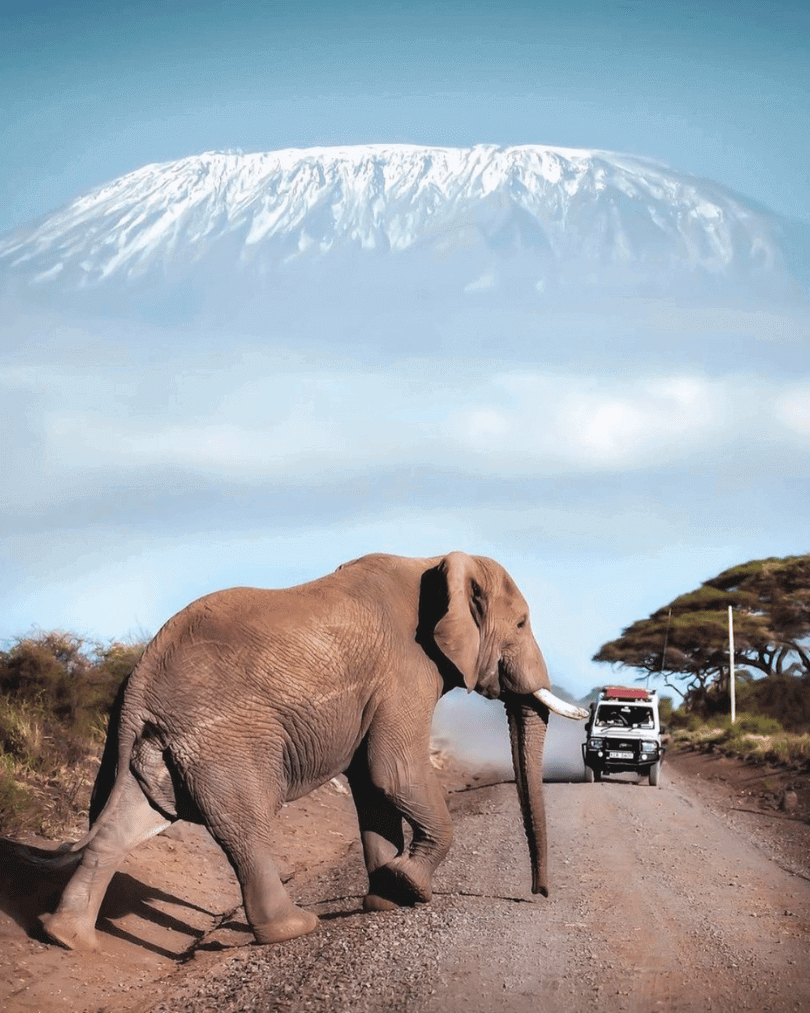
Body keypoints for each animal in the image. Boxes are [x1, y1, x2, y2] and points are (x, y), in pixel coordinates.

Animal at [41, 547, 587, 948]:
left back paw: (68, 939)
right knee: (247, 826)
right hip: (224, 741)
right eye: (522, 624)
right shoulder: (405, 670)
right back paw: (294, 928)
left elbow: (372, 785)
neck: (434, 562)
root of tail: (138, 684)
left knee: (127, 822)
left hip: (153, 743)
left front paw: (385, 899)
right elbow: (393, 771)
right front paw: (408, 884)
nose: (537, 894)